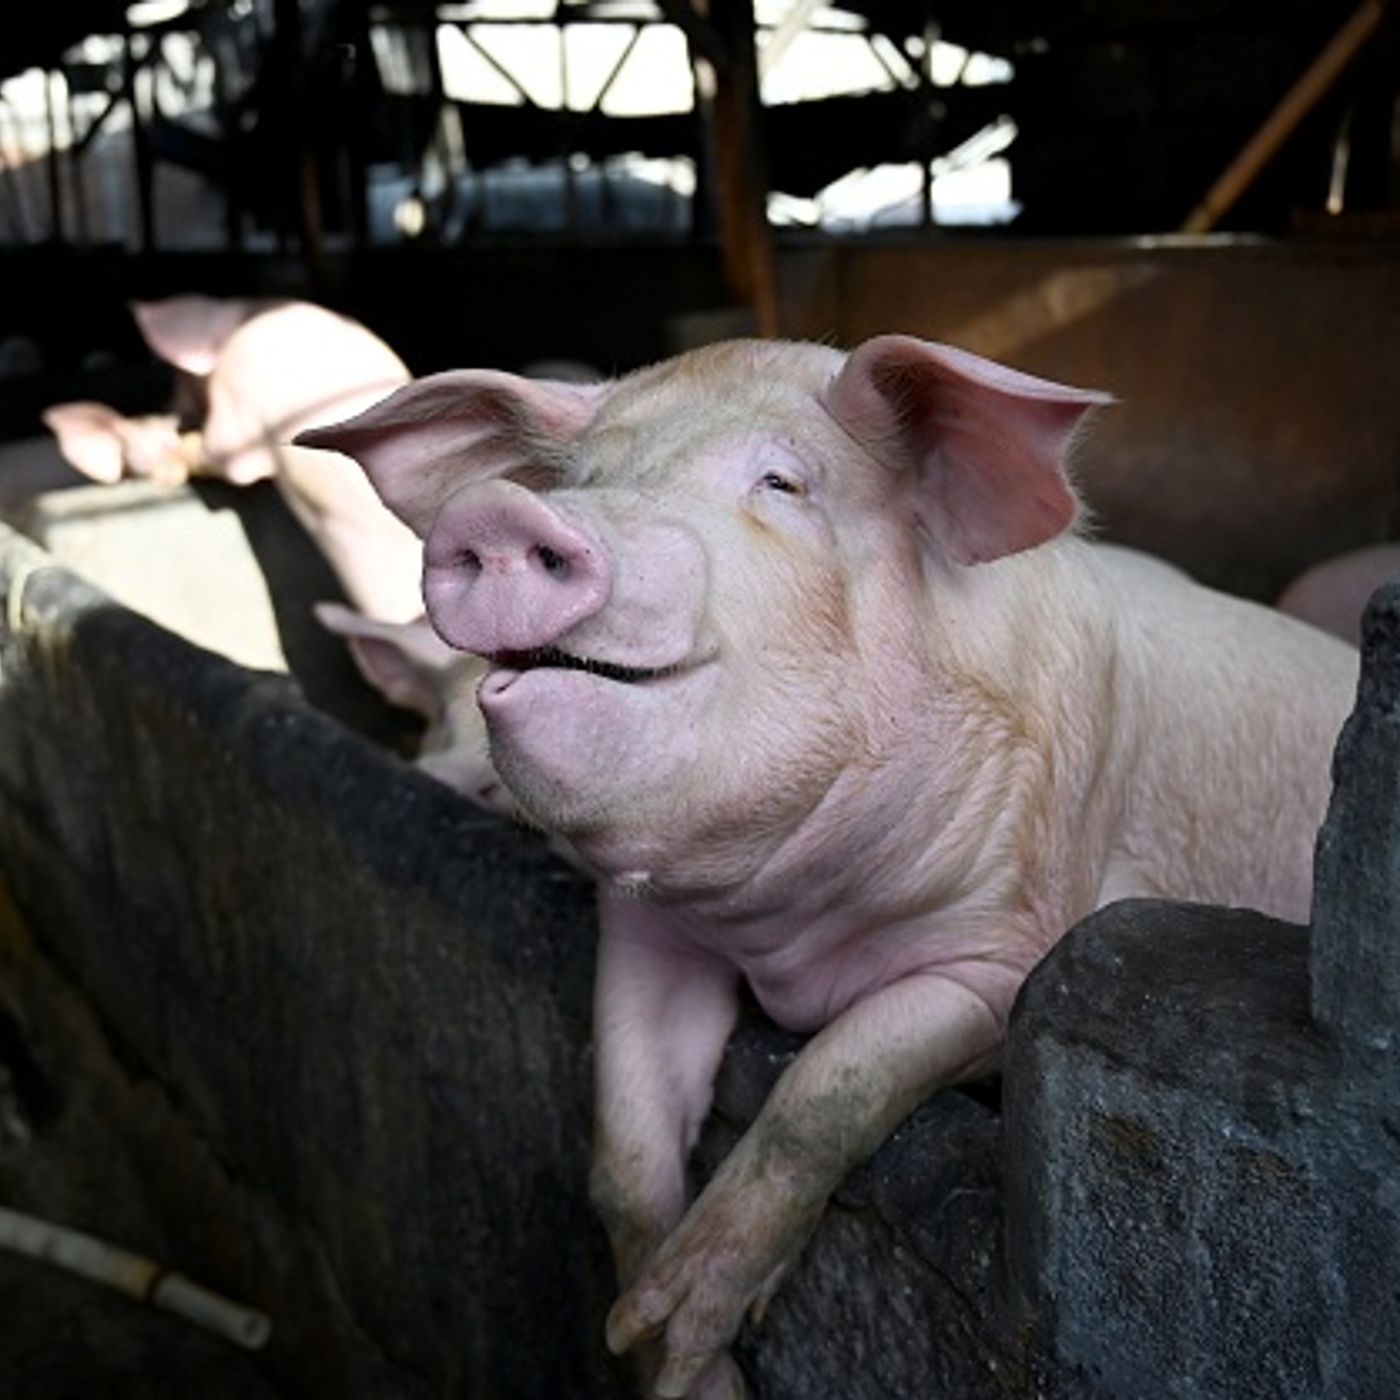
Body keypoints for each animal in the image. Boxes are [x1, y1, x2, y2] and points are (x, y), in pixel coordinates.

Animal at [298, 335, 1358, 1399]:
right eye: (581, 481)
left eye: (783, 482)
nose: (499, 515)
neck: (787, 931)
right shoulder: (645, 933)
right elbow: (626, 1153)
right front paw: (665, 1360)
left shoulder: (1006, 957)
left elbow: (827, 1087)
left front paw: (685, 1326)